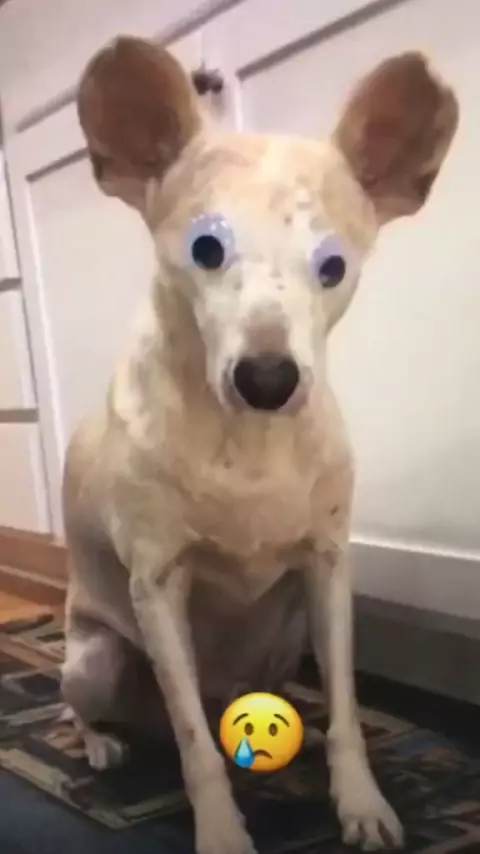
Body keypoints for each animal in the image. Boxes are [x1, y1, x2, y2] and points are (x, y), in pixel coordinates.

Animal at [61, 36, 458, 853]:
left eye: (333, 267)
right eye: (206, 249)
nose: (270, 379)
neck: (244, 442)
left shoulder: (328, 570)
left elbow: (348, 708)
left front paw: (360, 801)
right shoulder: (158, 585)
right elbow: (194, 745)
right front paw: (222, 831)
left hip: (287, 635)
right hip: (98, 658)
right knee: (104, 711)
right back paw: (101, 743)